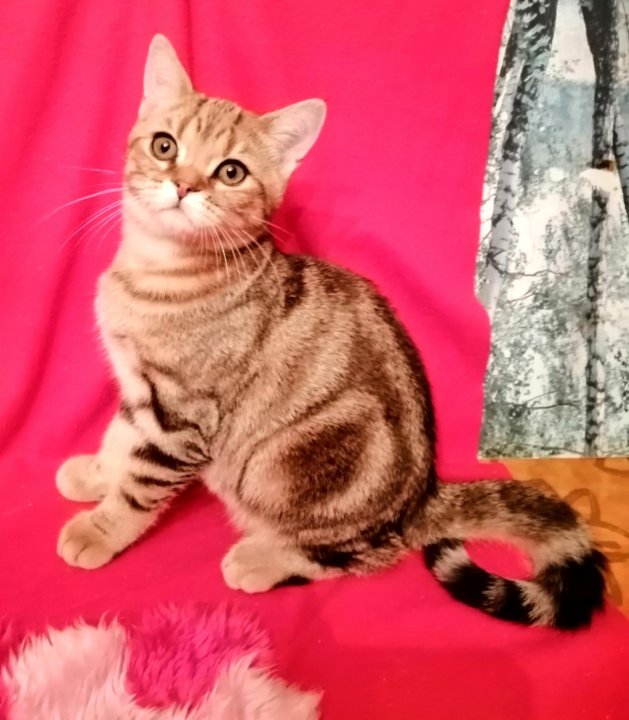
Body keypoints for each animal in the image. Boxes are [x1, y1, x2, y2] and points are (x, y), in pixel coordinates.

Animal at [56, 34, 606, 629]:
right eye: (164, 146)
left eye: (231, 172)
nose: (183, 185)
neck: (159, 272)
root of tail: (423, 496)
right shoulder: (140, 391)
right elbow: (121, 440)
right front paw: (96, 474)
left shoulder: (183, 413)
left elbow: (141, 484)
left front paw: (99, 530)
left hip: (296, 463)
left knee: (363, 553)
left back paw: (261, 559)